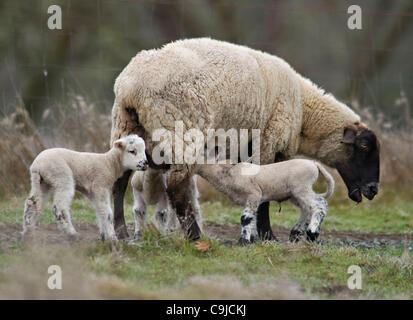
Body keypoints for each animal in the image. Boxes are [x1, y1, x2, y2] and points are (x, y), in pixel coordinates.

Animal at [195, 159, 334, 244]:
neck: (228, 174)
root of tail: (314, 164)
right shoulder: (252, 199)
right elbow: (252, 218)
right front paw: (251, 239)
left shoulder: (254, 194)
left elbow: (245, 218)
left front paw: (243, 241)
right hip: (294, 194)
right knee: (307, 209)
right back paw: (295, 234)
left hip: (301, 187)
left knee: (320, 204)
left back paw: (312, 233)